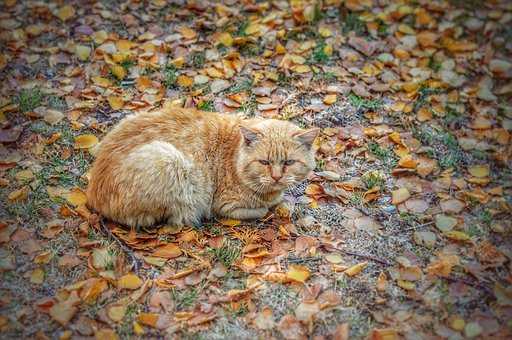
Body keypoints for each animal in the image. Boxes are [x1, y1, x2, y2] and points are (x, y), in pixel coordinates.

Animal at [86, 107, 318, 227]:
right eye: (264, 162)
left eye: (289, 162)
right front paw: (271, 205)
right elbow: (260, 209)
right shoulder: (225, 205)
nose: (277, 177)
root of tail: (93, 194)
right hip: (169, 160)